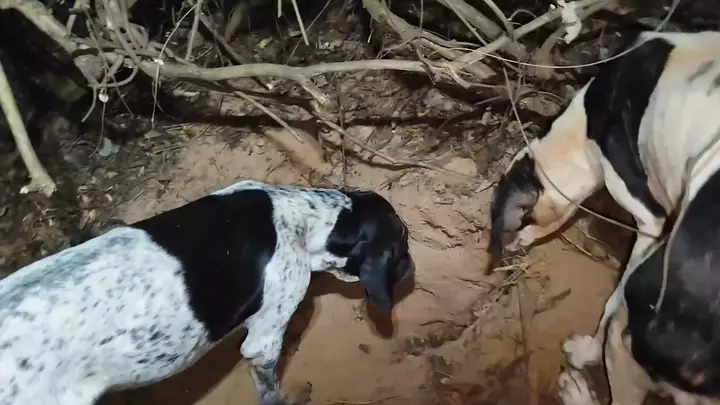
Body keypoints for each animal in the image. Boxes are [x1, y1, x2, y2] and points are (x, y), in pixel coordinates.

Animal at [488, 30, 720, 404]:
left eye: (519, 220)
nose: (508, 249)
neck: (581, 127)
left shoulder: (650, 223)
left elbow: (612, 299)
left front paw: (587, 352)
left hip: (634, 325)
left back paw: (578, 387)